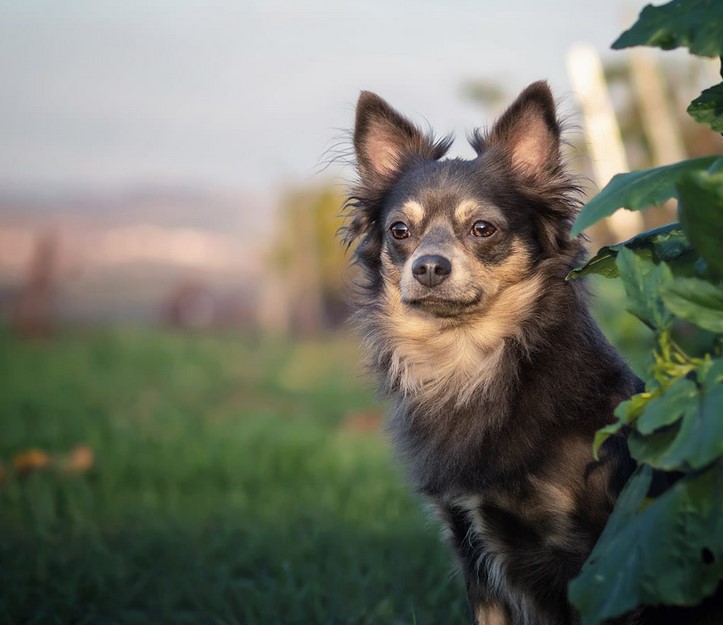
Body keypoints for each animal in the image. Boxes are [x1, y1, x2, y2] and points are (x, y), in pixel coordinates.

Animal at [340, 81, 723, 624]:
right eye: (399, 231)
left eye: (483, 229)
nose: (428, 267)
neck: (471, 362)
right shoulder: (473, 550)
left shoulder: (596, 568)